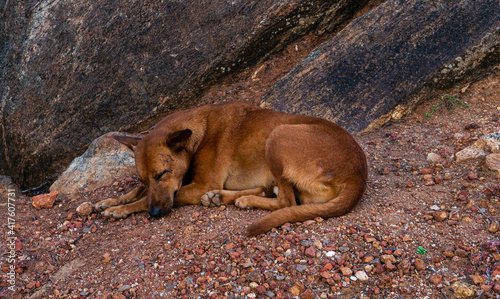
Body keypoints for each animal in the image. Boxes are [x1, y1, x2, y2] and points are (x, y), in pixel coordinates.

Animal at [94, 103, 368, 237]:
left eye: (162, 174)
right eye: (144, 178)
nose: (155, 214)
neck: (199, 131)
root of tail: (359, 172)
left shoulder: (200, 185)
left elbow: (152, 198)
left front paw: (121, 209)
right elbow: (137, 192)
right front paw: (111, 200)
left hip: (278, 136)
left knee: (287, 202)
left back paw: (240, 198)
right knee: (277, 194)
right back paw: (227, 197)